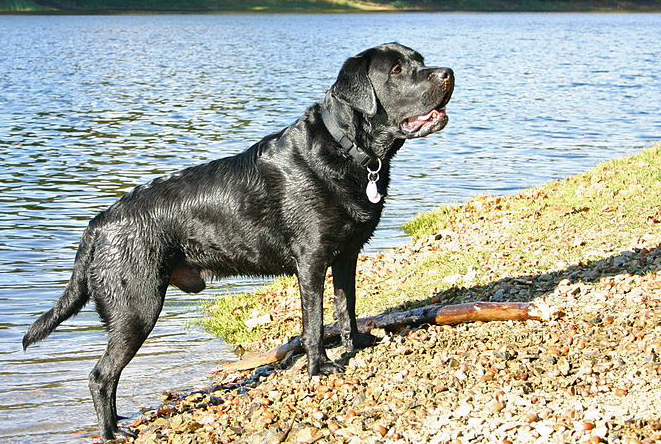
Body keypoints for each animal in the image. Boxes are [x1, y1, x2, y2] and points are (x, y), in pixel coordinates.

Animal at [21, 42, 454, 440]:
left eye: (419, 60)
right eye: (396, 70)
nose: (447, 72)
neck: (349, 151)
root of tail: (98, 224)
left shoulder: (347, 255)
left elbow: (346, 307)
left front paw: (357, 343)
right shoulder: (311, 259)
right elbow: (314, 323)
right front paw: (320, 367)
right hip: (136, 308)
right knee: (100, 375)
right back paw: (112, 431)